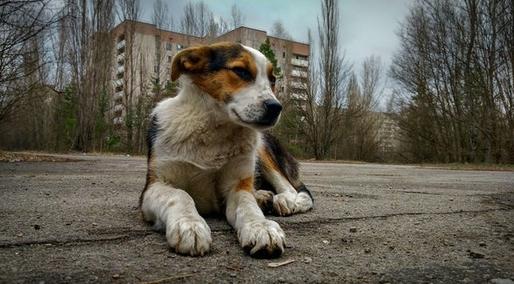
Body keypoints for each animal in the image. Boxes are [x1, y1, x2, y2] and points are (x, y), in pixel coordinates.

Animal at [140, 42, 314, 258]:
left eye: (272, 79)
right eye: (241, 71)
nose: (276, 107)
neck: (214, 131)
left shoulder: (237, 186)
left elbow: (248, 206)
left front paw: (261, 226)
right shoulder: (153, 186)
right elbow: (179, 195)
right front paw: (189, 224)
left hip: (261, 147)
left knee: (293, 189)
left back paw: (285, 201)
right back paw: (263, 196)